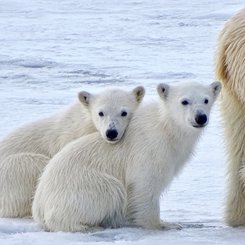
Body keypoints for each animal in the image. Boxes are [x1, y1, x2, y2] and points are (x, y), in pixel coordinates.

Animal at [31, 81, 221, 232]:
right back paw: (90, 226)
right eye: (184, 101)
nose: (200, 117)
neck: (167, 129)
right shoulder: (149, 150)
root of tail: (38, 206)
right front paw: (164, 224)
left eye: (206, 100)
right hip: (80, 187)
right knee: (110, 189)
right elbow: (145, 186)